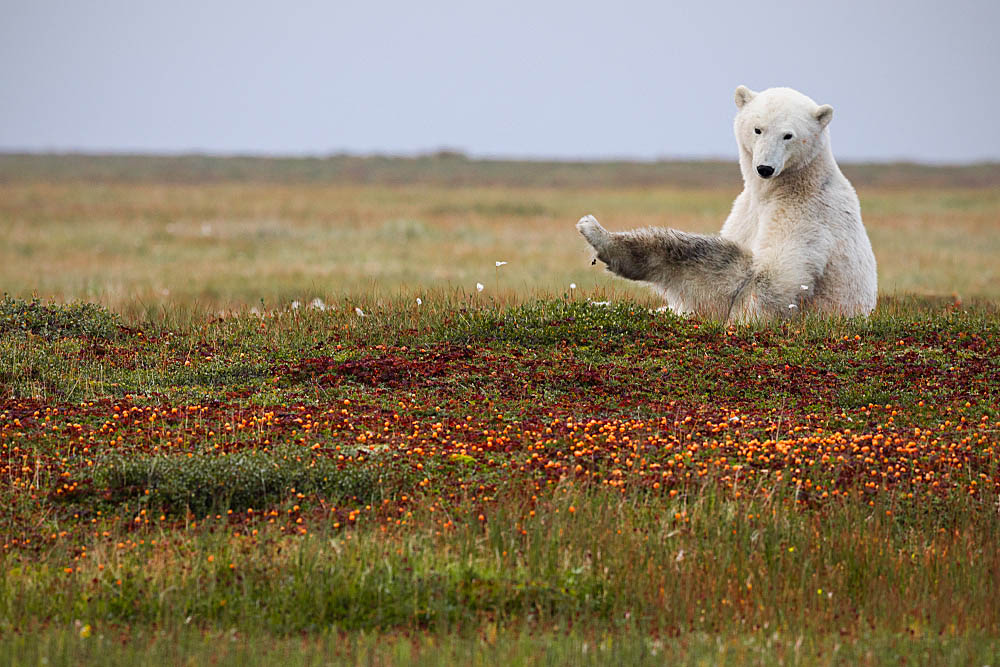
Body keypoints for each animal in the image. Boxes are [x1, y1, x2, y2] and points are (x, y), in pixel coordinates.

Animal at [580, 85, 876, 324]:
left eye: (788, 135)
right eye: (758, 129)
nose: (765, 168)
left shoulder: (806, 214)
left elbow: (768, 281)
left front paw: (600, 235)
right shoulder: (745, 210)